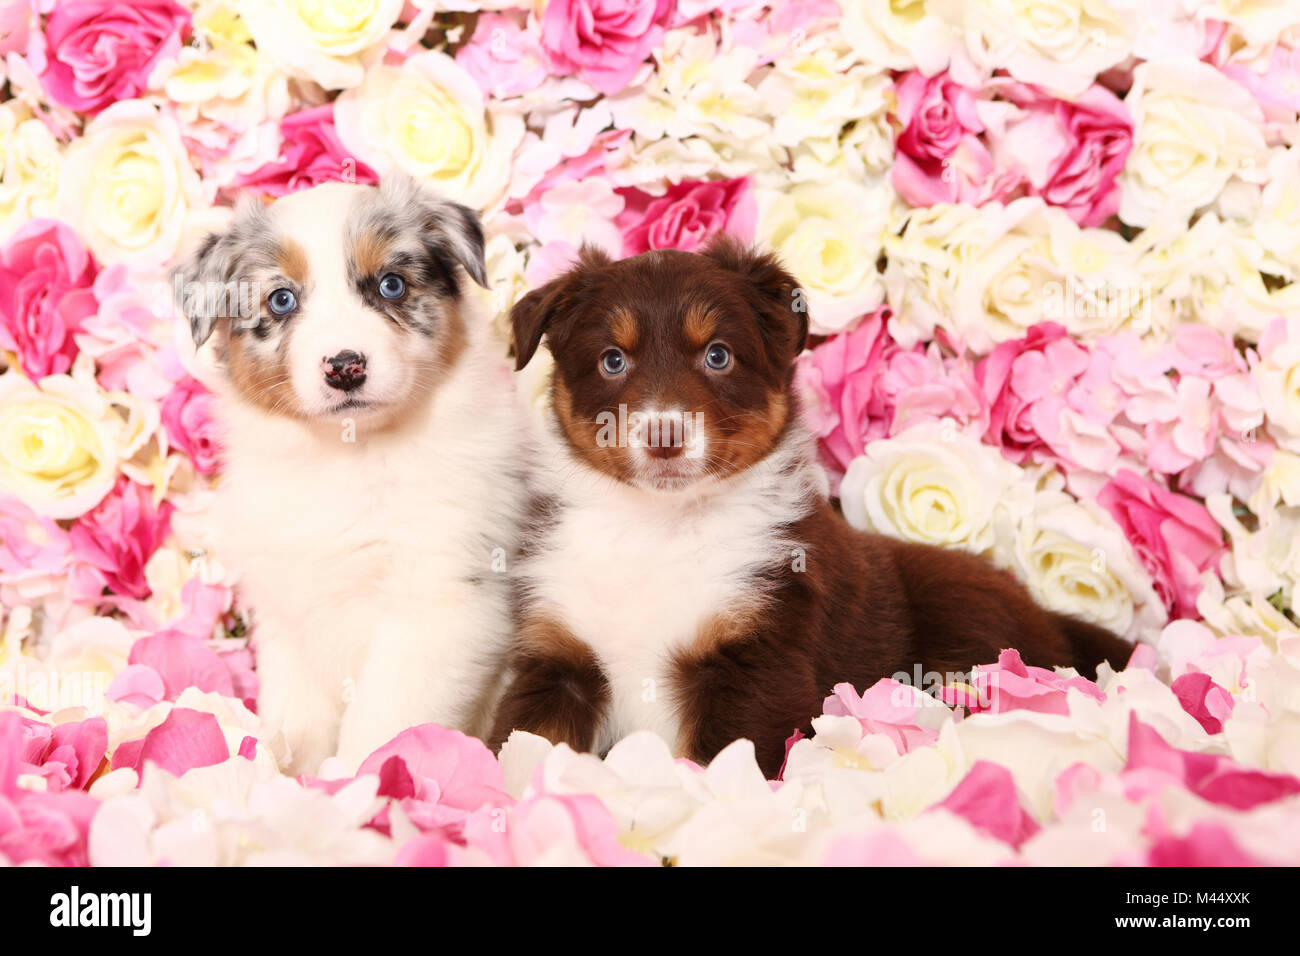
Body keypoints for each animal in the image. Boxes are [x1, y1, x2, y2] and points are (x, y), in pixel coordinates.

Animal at [175, 178, 525, 780]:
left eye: (391, 285)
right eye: (281, 300)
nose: (345, 366)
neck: (350, 455)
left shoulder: (442, 603)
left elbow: (384, 718)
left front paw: (359, 782)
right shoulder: (291, 608)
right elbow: (295, 713)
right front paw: (282, 774)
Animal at [491, 238, 1133, 780]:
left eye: (718, 356)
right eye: (612, 361)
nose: (665, 436)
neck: (658, 525)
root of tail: (1046, 617)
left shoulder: (759, 662)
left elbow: (717, 769)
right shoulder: (559, 660)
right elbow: (523, 748)